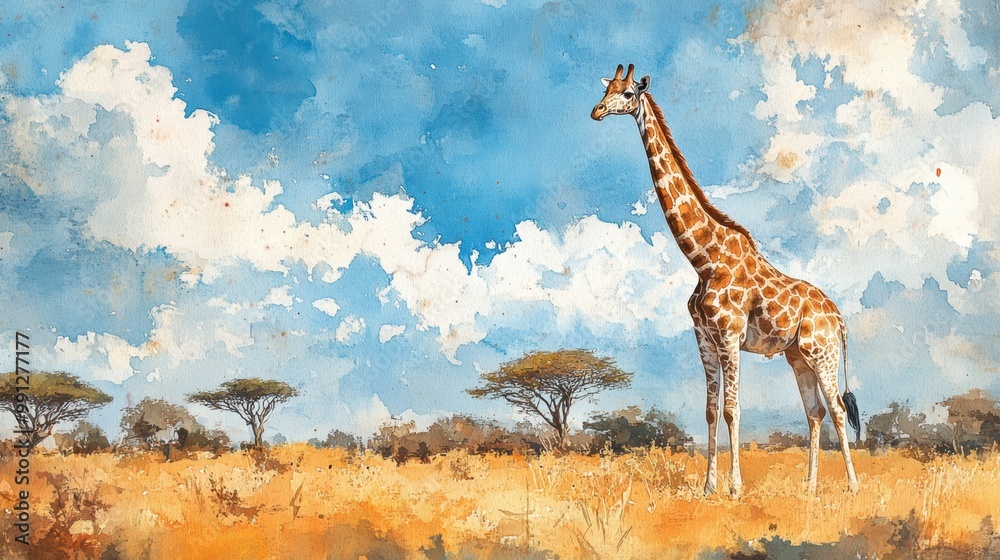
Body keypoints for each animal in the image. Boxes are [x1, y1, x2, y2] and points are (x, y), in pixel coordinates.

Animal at [592, 64, 860, 497]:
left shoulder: (731, 336)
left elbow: (733, 410)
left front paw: (734, 487)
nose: (597, 111)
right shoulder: (704, 338)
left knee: (836, 409)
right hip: (797, 356)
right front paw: (708, 487)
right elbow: (710, 411)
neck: (703, 258)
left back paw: (852, 485)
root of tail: (838, 317)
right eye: (607, 90)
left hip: (823, 353)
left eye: (629, 93)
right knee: (815, 411)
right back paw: (810, 487)